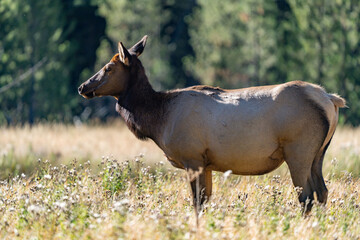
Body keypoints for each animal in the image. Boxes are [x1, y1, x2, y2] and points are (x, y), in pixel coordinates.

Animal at [79, 35, 346, 219]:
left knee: (306, 196)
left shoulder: (192, 157)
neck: (159, 119)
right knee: (322, 192)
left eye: (108, 68)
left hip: (298, 149)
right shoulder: (206, 162)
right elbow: (206, 201)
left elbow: (197, 203)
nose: (83, 86)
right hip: (318, 153)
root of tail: (331, 99)